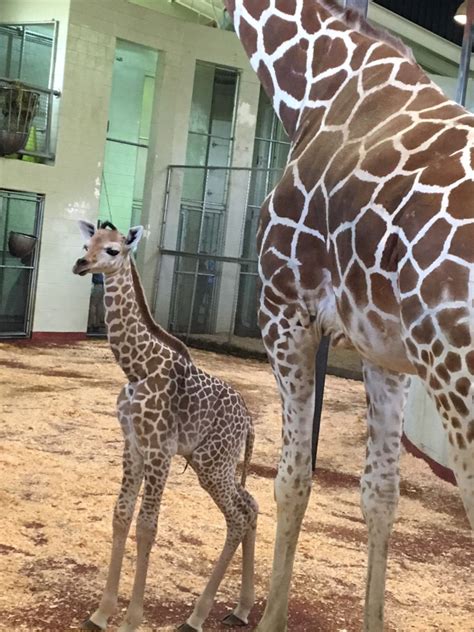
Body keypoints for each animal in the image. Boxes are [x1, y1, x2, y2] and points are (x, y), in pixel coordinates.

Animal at [73, 222, 260, 632]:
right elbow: (121, 515)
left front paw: (131, 620)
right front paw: (101, 613)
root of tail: (248, 422)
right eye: (86, 244)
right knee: (251, 504)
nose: (81, 264)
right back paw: (240, 609)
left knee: (237, 516)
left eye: (112, 250)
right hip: (218, 466)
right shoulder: (133, 445)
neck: (138, 369)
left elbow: (147, 526)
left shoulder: (160, 450)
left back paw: (196, 616)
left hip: (212, 464)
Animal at [225, 0, 474, 628]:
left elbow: (291, 479)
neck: (312, 89)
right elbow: (380, 495)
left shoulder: (284, 311)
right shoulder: (385, 350)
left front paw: (270, 615)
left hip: (457, 375)